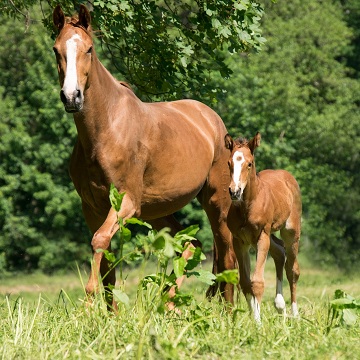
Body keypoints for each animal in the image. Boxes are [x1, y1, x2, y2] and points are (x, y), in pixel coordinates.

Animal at [52, 4, 235, 310]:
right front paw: (109, 314)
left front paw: (88, 303)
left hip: (216, 202)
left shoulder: (126, 201)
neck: (106, 129)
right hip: (157, 211)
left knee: (226, 251)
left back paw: (227, 309)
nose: (71, 97)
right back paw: (169, 302)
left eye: (88, 49)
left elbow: (99, 241)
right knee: (191, 245)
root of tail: (211, 120)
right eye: (56, 49)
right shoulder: (93, 207)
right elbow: (107, 263)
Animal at [225, 133, 300, 324]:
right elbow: (245, 282)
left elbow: (257, 282)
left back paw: (295, 314)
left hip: (290, 232)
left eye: (249, 163)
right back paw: (280, 306)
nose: (234, 191)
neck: (248, 206)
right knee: (279, 252)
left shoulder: (262, 236)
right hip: (269, 235)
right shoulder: (240, 241)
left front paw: (258, 324)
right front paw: (254, 317)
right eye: (229, 163)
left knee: (292, 269)